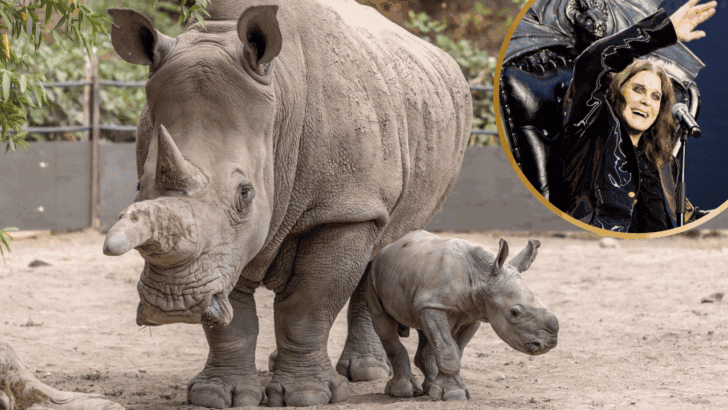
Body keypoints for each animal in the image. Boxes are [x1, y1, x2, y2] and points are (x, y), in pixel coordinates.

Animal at [102, 0, 472, 407]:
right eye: (139, 185)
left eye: (245, 194)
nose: (173, 304)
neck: (280, 103)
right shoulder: (224, 247)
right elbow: (234, 316)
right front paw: (218, 394)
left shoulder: (344, 206)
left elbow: (308, 304)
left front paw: (307, 395)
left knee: (380, 246)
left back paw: (365, 372)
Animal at [366, 231, 558, 400]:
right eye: (514, 313)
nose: (549, 343)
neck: (483, 276)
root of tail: (389, 247)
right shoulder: (434, 305)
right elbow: (448, 349)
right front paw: (453, 394)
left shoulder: (472, 313)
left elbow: (456, 349)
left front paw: (448, 390)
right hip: (373, 275)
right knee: (384, 326)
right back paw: (403, 392)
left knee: (424, 331)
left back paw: (429, 387)